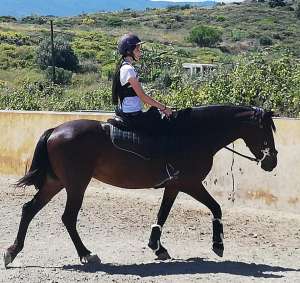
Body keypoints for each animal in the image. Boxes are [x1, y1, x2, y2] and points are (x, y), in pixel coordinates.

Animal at [3, 105, 278, 268]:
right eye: (266, 130)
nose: (272, 161)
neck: (193, 135)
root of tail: (55, 130)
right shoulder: (190, 183)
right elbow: (216, 207)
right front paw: (218, 245)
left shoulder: (174, 185)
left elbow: (162, 214)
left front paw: (157, 247)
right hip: (76, 184)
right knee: (68, 217)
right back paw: (86, 254)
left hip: (56, 182)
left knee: (29, 209)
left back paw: (12, 251)